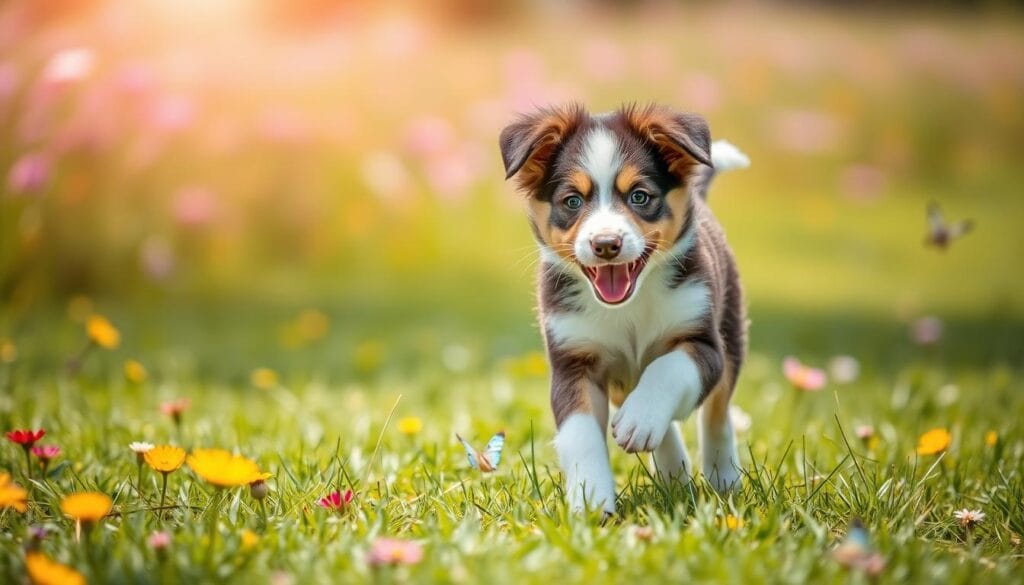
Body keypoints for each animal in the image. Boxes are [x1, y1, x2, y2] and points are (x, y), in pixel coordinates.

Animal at [499, 102, 749, 514]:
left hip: (730, 336)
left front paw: (642, 416)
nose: (605, 244)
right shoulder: (573, 361)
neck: (627, 308)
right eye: (572, 201)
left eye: (639, 197)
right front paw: (590, 501)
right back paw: (672, 471)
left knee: (716, 414)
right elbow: (580, 435)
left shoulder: (704, 341)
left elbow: (670, 369)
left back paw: (722, 479)